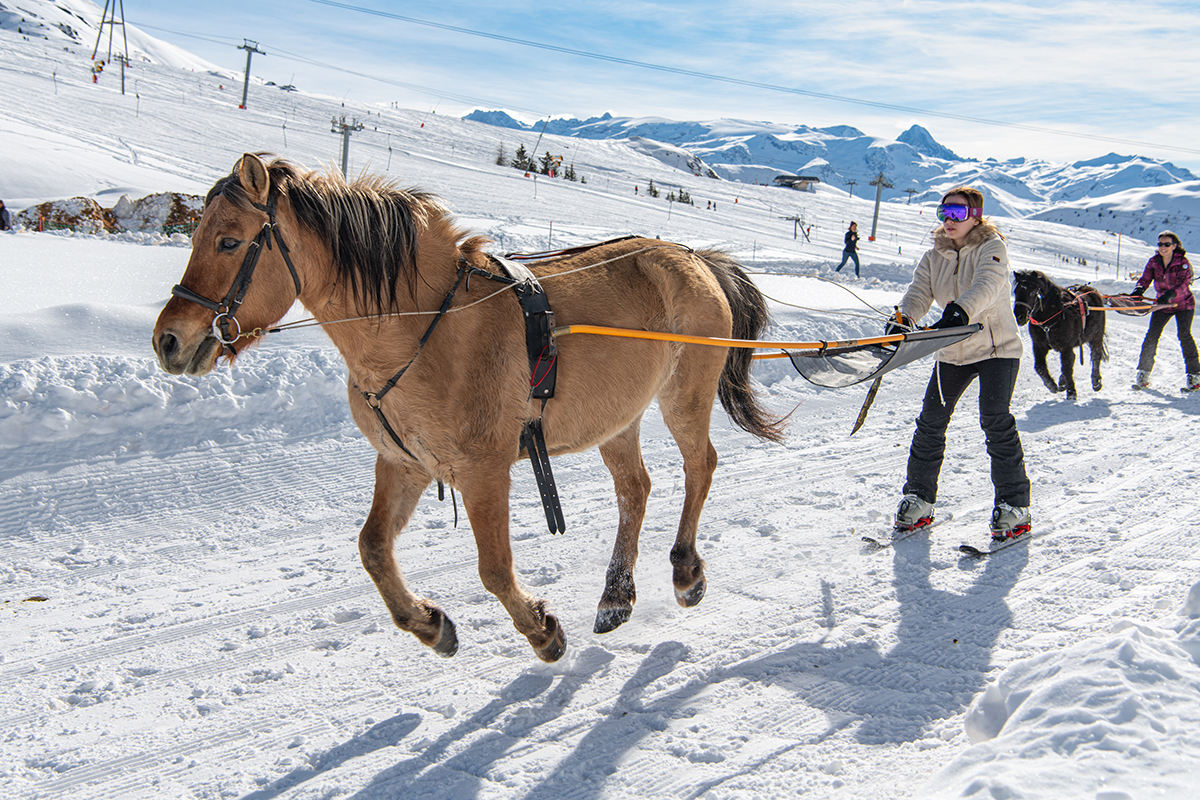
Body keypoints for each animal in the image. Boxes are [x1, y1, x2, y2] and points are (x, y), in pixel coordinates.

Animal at [152, 154, 787, 662]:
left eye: (229, 241)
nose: (168, 340)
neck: (419, 332)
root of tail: (694, 257)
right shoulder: (405, 463)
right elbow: (373, 548)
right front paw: (430, 624)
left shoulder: (485, 472)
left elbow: (494, 568)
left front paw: (542, 631)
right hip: (618, 418)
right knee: (635, 489)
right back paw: (614, 598)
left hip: (684, 395)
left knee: (699, 466)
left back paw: (685, 571)